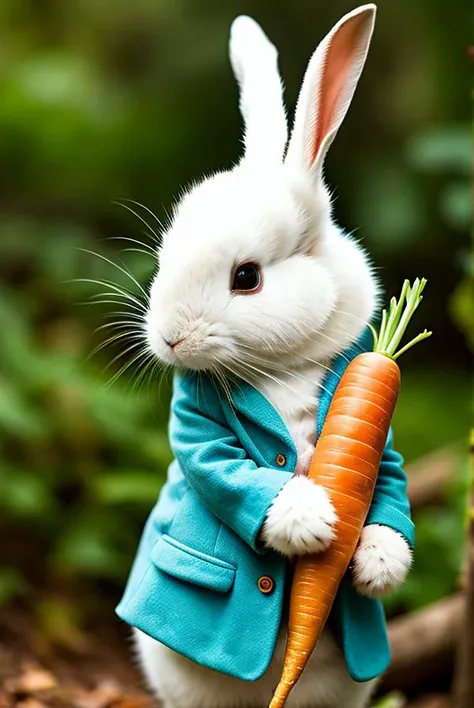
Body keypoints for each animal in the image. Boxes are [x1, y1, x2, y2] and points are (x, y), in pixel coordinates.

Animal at [130, 5, 412, 708]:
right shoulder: (197, 421)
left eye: (247, 277)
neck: (282, 367)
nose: (168, 339)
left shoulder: (386, 440)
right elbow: (220, 463)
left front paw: (378, 563)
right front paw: (312, 523)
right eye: (165, 258)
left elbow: (391, 483)